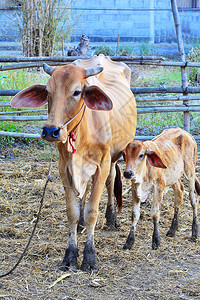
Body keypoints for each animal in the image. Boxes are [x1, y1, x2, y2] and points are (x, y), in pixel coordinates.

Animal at [10, 54, 136, 272]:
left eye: (77, 92)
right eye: (48, 91)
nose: (50, 131)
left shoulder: (102, 165)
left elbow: (92, 211)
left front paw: (90, 257)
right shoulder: (65, 167)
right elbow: (72, 211)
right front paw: (70, 255)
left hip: (114, 156)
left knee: (111, 180)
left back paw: (111, 218)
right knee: (83, 194)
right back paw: (81, 225)